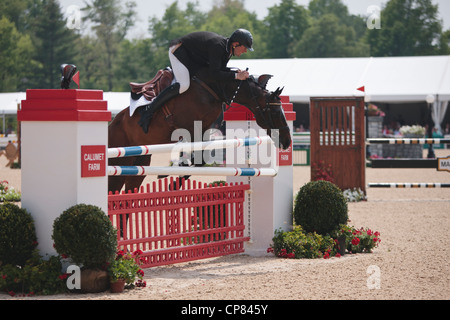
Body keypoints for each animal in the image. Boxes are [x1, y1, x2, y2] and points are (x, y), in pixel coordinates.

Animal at [108, 69, 292, 194]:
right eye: (276, 112)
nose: (287, 141)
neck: (215, 90)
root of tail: (112, 124)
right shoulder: (187, 130)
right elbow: (197, 157)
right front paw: (173, 174)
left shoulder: (202, 130)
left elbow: (201, 160)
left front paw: (174, 177)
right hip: (121, 162)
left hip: (140, 163)